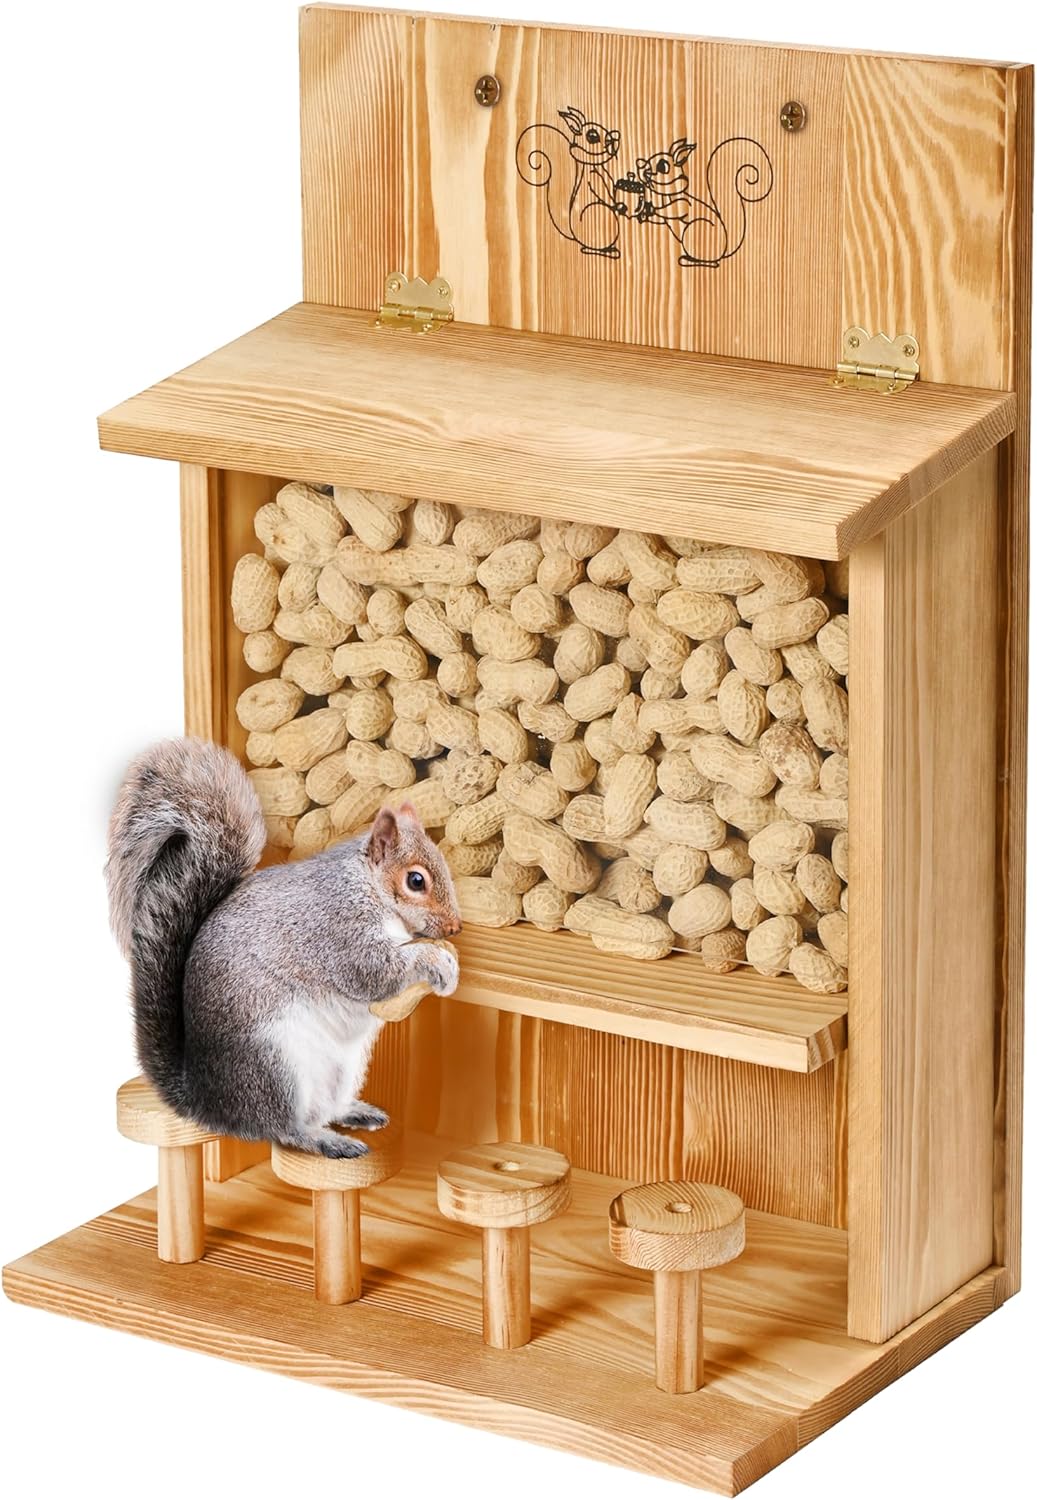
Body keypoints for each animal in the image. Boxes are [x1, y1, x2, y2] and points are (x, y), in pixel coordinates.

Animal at [105, 737, 462, 1158]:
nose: (455, 927)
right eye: (415, 880)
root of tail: (209, 1101)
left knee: (324, 1109)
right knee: (282, 1129)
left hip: (342, 1067)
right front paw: (435, 959)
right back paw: (326, 1140)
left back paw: (354, 1113)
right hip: (273, 1068)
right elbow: (375, 973)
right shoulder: (338, 931)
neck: (367, 887)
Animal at [516, 106, 622, 258]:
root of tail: (574, 235)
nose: (614, 138)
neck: (595, 165)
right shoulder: (592, 177)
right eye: (592, 136)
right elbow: (602, 192)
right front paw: (617, 205)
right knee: (588, 248)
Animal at [629, 136, 774, 266]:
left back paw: (688, 260)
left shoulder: (684, 204)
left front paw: (652, 208)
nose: (644, 170)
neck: (667, 194)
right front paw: (645, 214)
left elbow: (676, 208)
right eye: (646, 164)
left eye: (662, 166)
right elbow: (660, 218)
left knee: (712, 263)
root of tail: (725, 250)